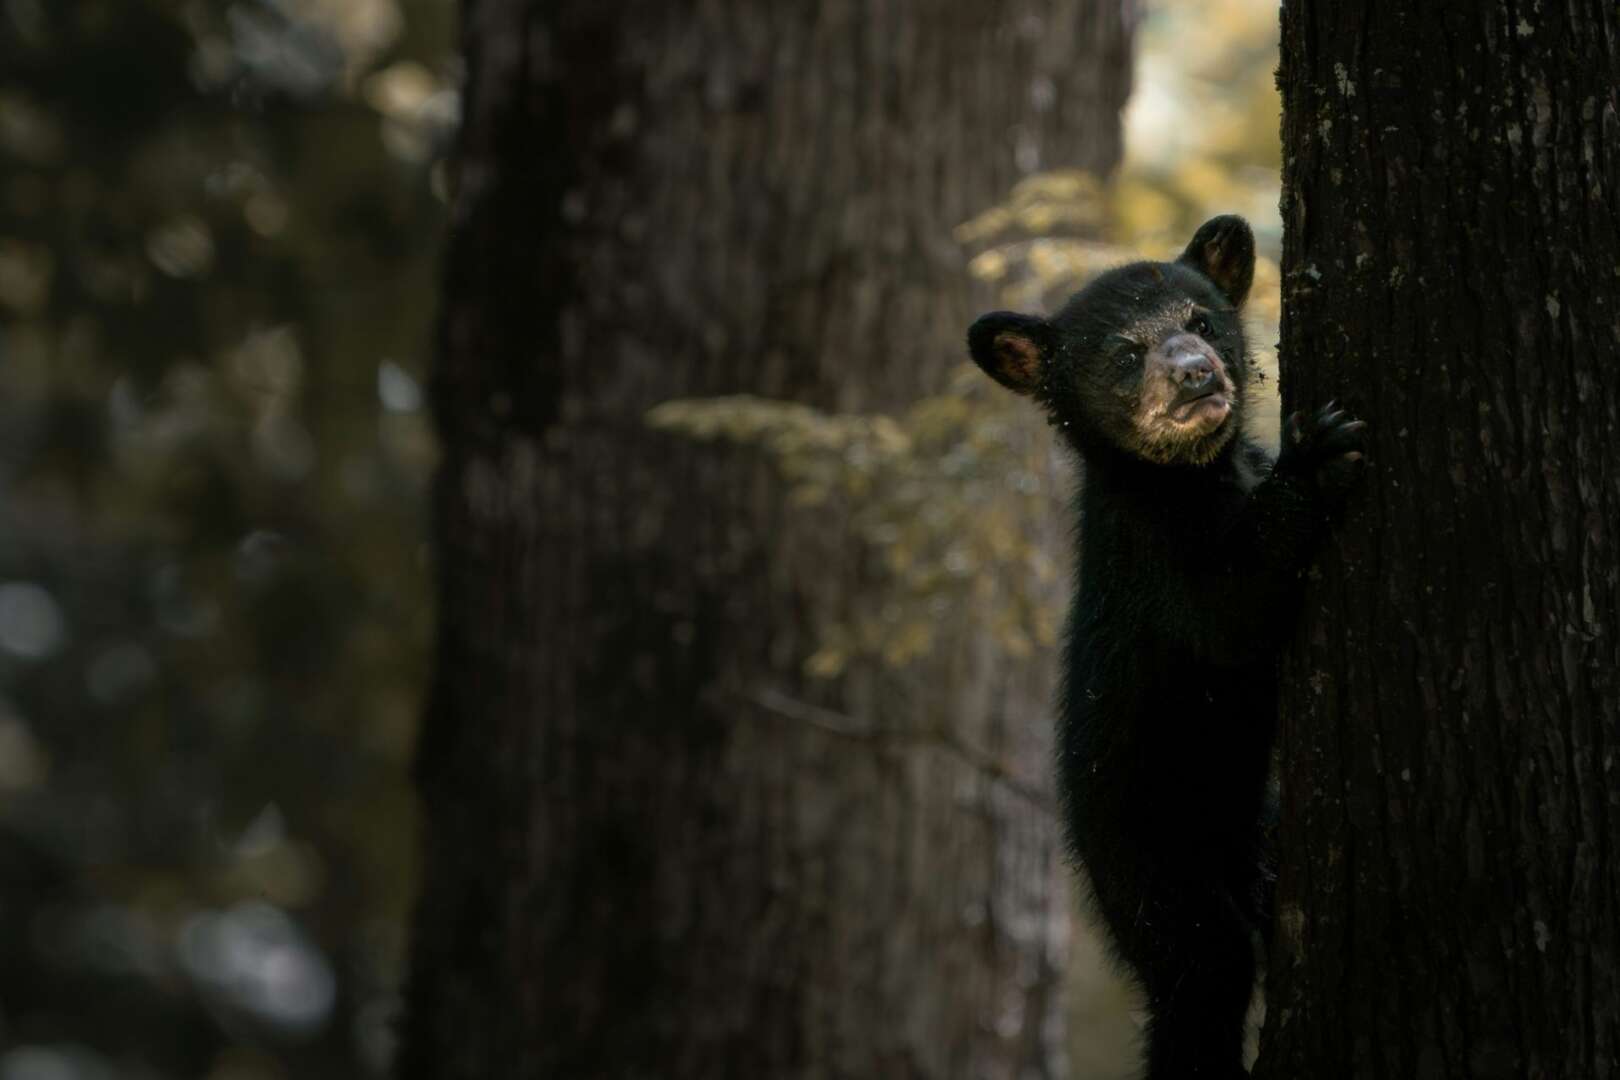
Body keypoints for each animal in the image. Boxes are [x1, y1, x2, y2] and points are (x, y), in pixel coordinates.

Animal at [967, 215, 1365, 1078]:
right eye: (1124, 352)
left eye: (1203, 321)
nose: (1193, 375)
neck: (1188, 479)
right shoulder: (1150, 561)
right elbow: (1228, 611)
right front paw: (1317, 456)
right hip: (1148, 854)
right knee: (1201, 971)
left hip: (1250, 825)